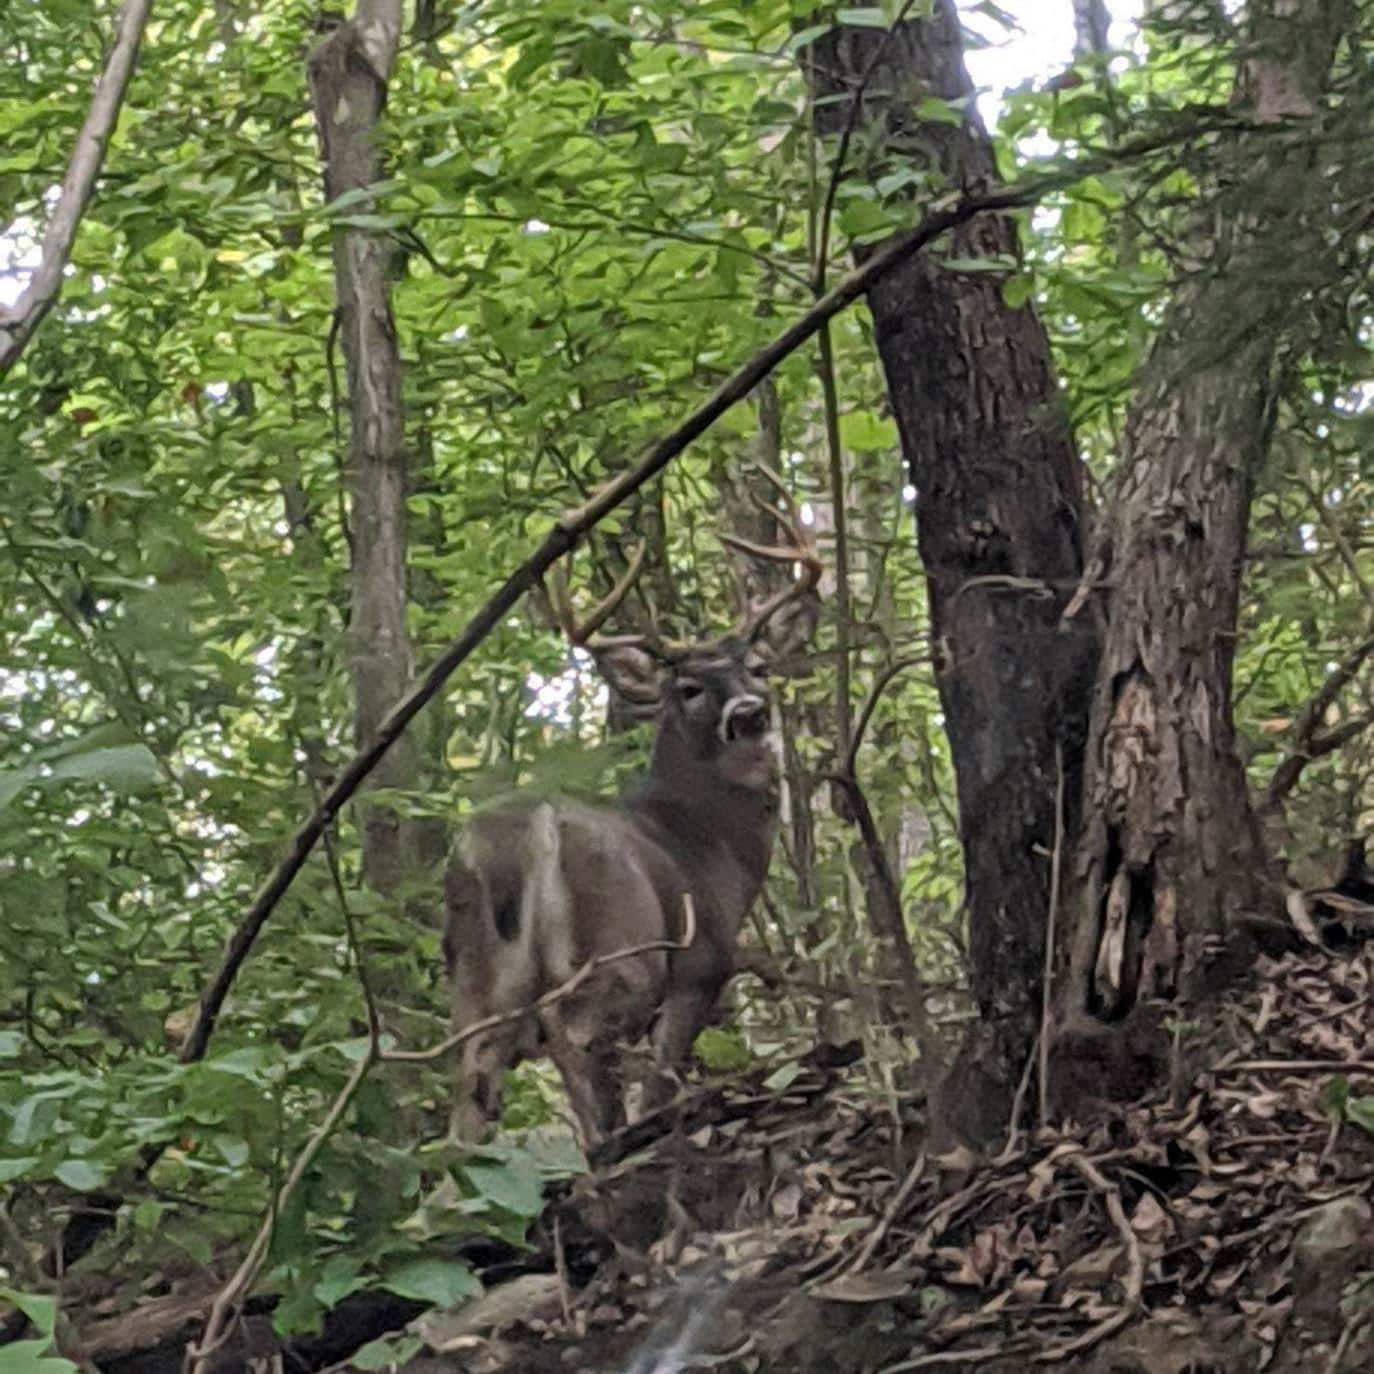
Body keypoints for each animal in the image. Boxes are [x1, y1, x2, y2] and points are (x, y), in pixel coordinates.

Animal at [442, 469, 819, 1149]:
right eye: (689, 687)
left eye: (757, 666)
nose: (749, 713)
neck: (709, 843)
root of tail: (517, 837)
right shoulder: (700, 968)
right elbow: (662, 1081)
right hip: (620, 953)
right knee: (579, 1043)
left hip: (476, 990)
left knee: (471, 1098)